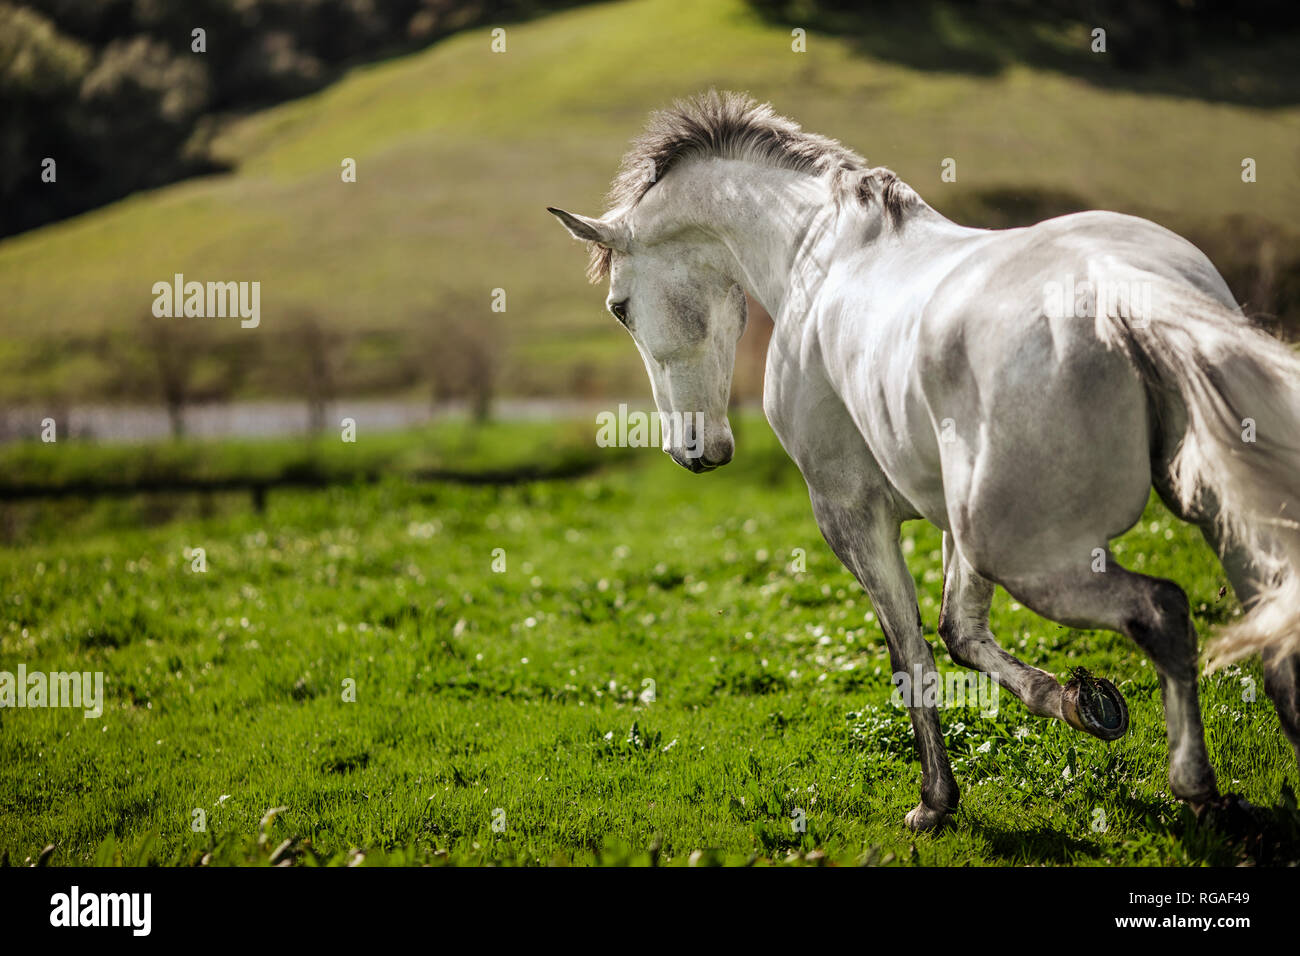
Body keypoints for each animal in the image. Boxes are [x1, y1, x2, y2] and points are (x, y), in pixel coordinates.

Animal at [548, 90, 1300, 831]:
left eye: (619, 309)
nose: (692, 451)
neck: (813, 252)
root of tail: (1118, 289)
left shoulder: (852, 516)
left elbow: (910, 651)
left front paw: (935, 803)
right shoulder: (949, 522)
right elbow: (960, 632)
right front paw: (1083, 704)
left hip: (1031, 554)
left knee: (1163, 611)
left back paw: (1199, 790)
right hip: (1216, 514)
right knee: (1271, 618)